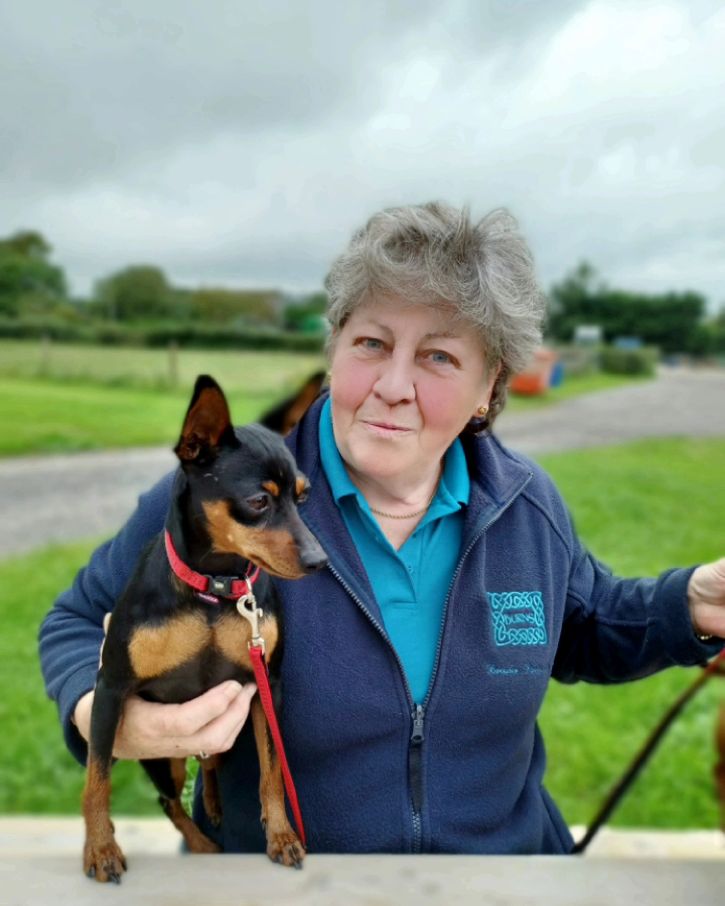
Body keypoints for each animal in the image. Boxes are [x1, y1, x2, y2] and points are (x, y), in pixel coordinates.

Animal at [81, 372, 326, 876]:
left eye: (303, 495)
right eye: (258, 501)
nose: (320, 560)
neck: (215, 590)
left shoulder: (265, 688)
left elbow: (272, 772)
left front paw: (282, 836)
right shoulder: (110, 688)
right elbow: (96, 779)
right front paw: (99, 848)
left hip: (227, 739)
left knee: (209, 766)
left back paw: (212, 806)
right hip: (163, 756)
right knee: (169, 800)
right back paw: (200, 844)